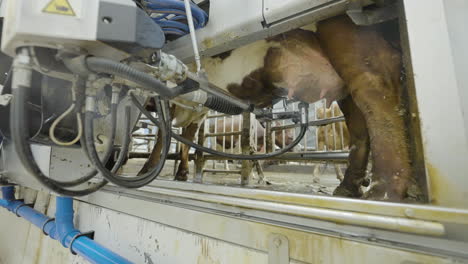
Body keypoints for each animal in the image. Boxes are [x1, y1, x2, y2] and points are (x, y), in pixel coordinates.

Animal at [139, 14, 410, 200]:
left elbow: (162, 133)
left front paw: (145, 169)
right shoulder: (196, 106)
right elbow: (184, 137)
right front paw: (180, 173)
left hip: (346, 34)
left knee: (375, 93)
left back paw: (383, 191)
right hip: (342, 81)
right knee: (359, 123)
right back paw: (348, 187)